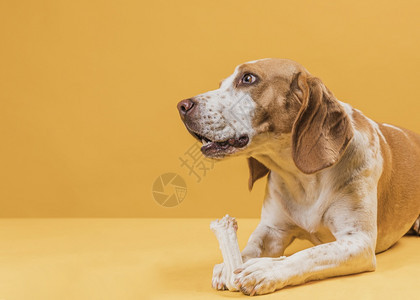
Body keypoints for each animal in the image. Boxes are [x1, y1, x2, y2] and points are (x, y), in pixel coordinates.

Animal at [176, 58, 420, 296]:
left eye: (248, 78)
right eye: (221, 84)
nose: (182, 106)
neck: (303, 178)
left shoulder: (358, 241)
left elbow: (310, 254)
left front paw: (266, 269)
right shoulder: (272, 229)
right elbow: (249, 248)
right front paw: (228, 266)